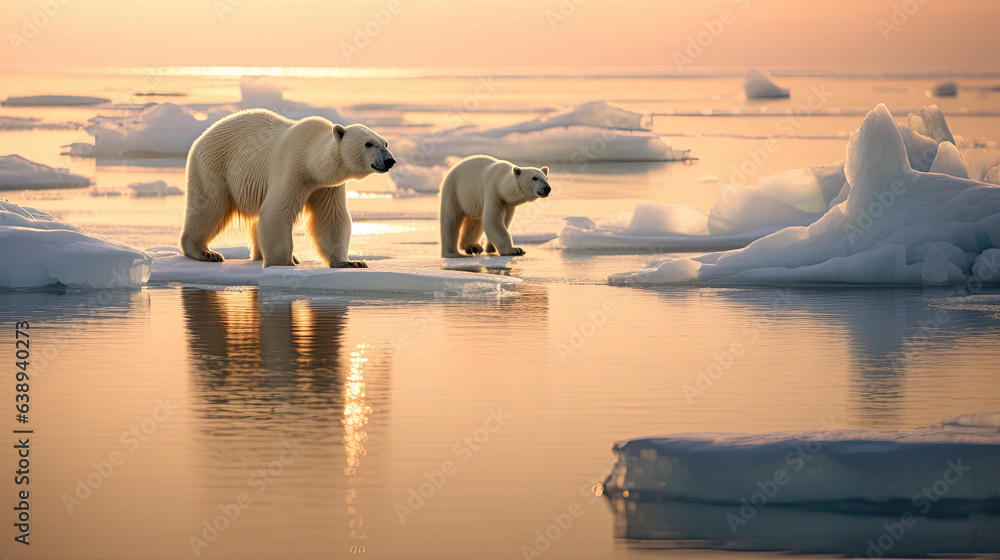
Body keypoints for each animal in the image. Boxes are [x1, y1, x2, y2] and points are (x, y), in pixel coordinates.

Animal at [179, 108, 394, 268]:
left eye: (385, 142)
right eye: (369, 144)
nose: (389, 160)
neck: (311, 161)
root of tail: (201, 137)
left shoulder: (327, 186)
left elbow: (331, 218)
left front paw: (350, 262)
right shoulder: (292, 168)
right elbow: (276, 212)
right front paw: (283, 263)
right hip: (213, 165)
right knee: (209, 207)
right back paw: (205, 252)